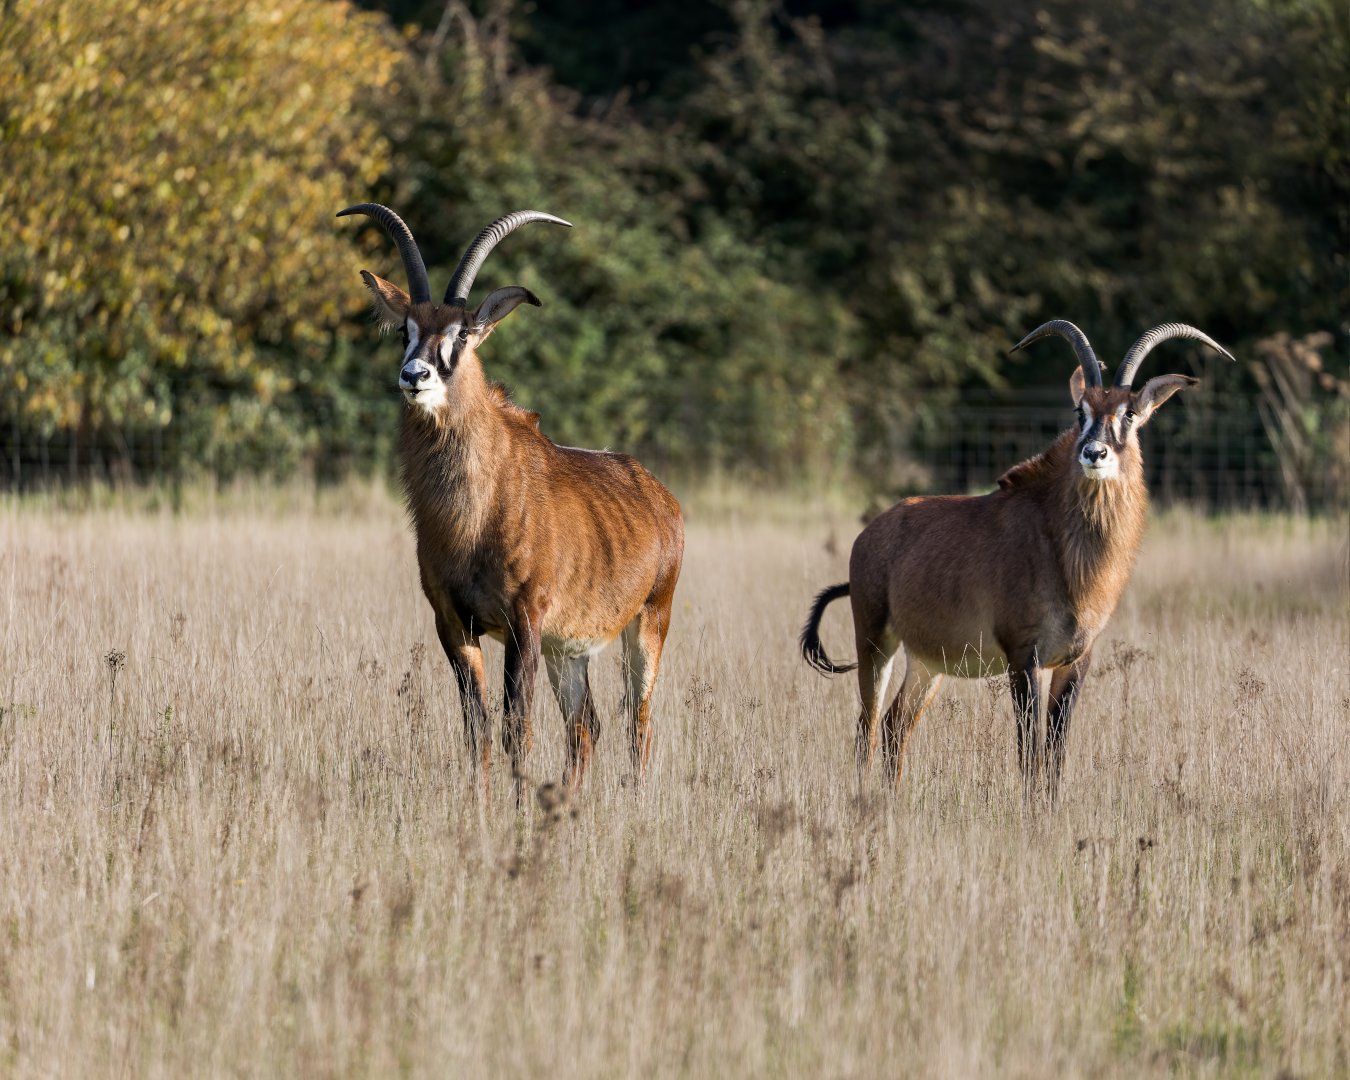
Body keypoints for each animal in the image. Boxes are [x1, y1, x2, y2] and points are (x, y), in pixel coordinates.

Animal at [338, 204, 684, 798]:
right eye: (406, 330)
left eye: (462, 334)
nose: (414, 376)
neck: (474, 516)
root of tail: (658, 494)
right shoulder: (454, 625)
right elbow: (476, 729)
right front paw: (482, 808)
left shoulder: (523, 623)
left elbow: (514, 729)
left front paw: (518, 813)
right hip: (566, 649)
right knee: (585, 727)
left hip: (646, 624)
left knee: (638, 722)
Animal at [800, 320, 1234, 800]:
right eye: (1080, 411)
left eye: (1129, 413)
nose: (1094, 453)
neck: (1062, 549)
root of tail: (869, 535)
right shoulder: (1023, 657)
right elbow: (1030, 753)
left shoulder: (1074, 662)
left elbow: (1056, 752)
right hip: (875, 643)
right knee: (868, 726)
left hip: (927, 664)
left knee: (896, 726)